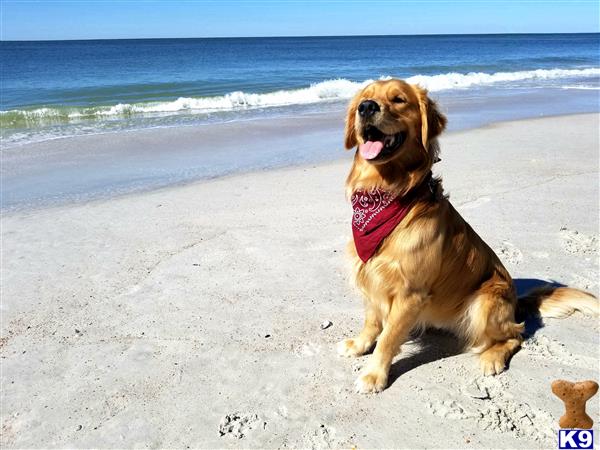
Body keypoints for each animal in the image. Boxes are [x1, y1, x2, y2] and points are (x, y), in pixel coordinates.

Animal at [340, 79, 596, 392]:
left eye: (399, 100)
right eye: (364, 99)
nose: (366, 108)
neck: (389, 192)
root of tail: (515, 303)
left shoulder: (410, 292)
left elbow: (388, 338)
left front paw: (374, 374)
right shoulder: (370, 274)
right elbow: (372, 320)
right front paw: (360, 344)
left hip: (484, 302)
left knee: (516, 335)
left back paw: (492, 358)